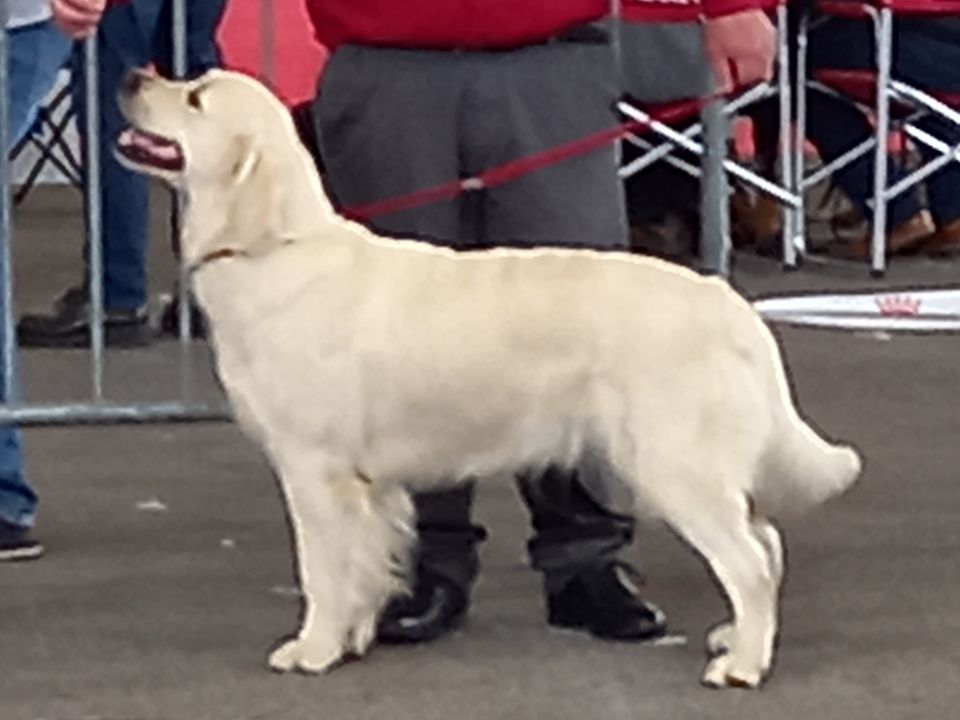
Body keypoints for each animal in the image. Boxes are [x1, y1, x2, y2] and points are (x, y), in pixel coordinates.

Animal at [114, 70, 864, 688]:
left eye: (195, 97)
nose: (130, 76)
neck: (271, 248)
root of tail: (728, 302)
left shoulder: (316, 470)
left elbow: (322, 570)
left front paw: (315, 649)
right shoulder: (368, 485)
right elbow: (366, 566)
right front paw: (355, 636)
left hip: (673, 463)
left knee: (750, 559)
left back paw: (743, 664)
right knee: (766, 541)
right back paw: (734, 639)